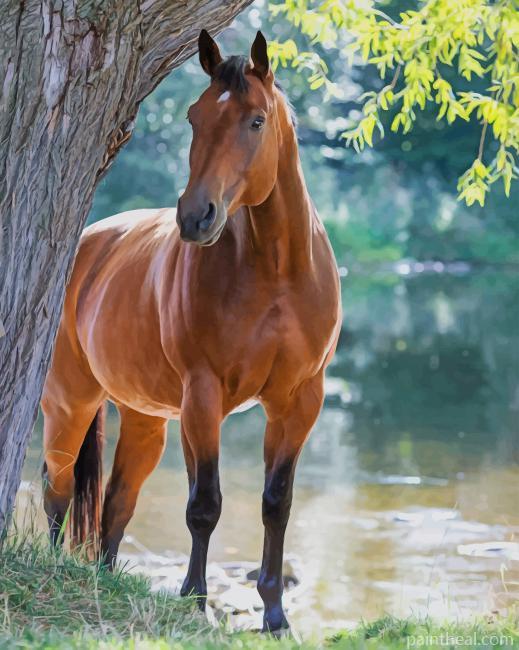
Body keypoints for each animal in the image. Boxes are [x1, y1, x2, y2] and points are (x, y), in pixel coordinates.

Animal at [41, 29, 341, 633]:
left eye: (256, 121)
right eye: (194, 117)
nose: (195, 216)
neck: (277, 273)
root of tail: (87, 245)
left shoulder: (300, 401)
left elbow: (277, 503)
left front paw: (275, 614)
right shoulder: (203, 398)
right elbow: (204, 505)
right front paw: (194, 601)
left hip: (144, 420)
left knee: (116, 503)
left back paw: (104, 581)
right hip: (69, 403)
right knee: (57, 493)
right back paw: (58, 569)